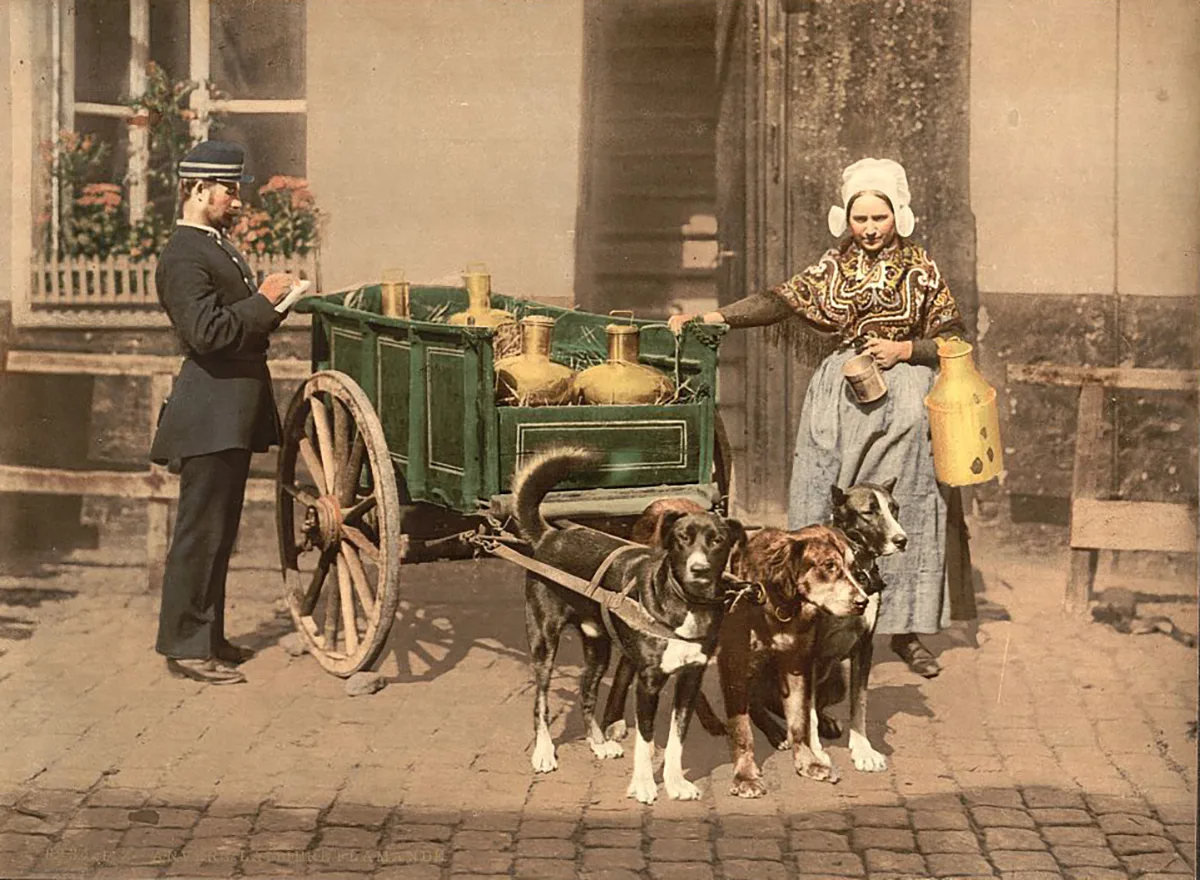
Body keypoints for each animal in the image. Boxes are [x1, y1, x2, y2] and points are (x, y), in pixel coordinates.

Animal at [513, 449, 744, 801]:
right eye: (682, 539)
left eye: (717, 540)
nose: (699, 569)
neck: (686, 604)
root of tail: (552, 535)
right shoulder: (648, 682)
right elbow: (645, 740)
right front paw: (645, 784)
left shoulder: (690, 679)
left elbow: (677, 738)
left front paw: (675, 782)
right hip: (544, 641)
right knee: (541, 700)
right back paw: (543, 751)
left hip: (598, 646)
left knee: (587, 690)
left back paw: (598, 743)